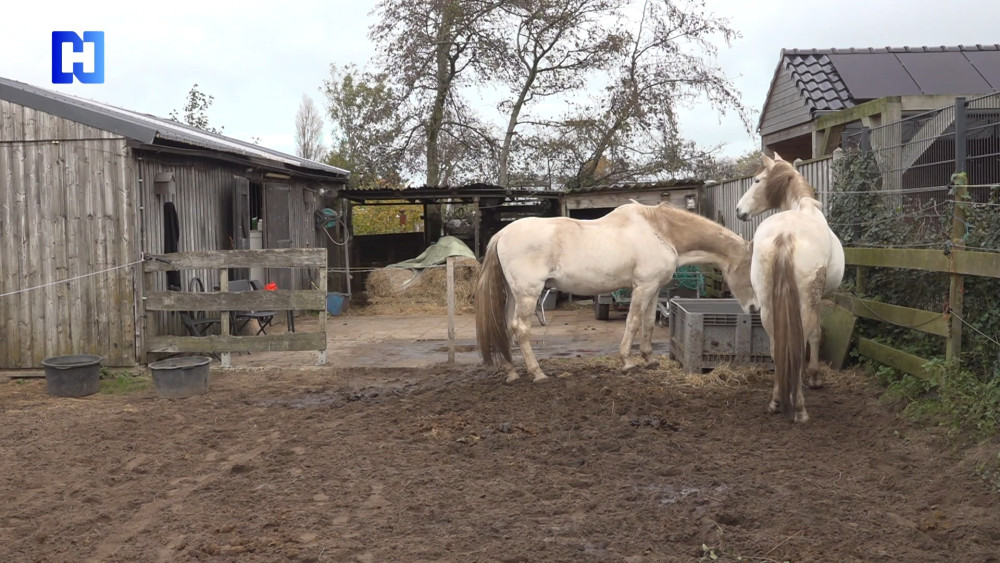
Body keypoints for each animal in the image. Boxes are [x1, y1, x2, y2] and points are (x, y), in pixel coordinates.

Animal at [476, 202, 756, 384]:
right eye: (752, 273)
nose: (755, 308)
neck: (660, 231)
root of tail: (502, 233)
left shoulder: (654, 288)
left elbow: (648, 324)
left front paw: (649, 359)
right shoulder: (642, 287)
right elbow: (633, 322)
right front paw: (628, 362)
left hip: (514, 295)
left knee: (507, 328)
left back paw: (512, 372)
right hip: (528, 294)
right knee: (521, 329)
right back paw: (537, 373)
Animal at [736, 154, 844, 424]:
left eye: (757, 180)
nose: (739, 210)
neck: (803, 206)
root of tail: (785, 235)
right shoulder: (820, 300)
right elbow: (816, 334)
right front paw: (815, 377)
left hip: (766, 308)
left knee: (777, 348)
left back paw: (776, 401)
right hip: (804, 304)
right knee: (799, 343)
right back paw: (799, 408)